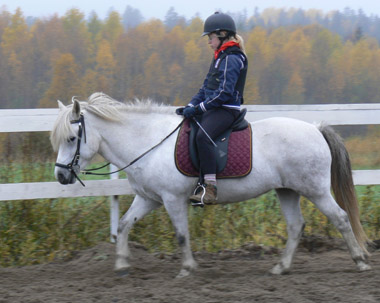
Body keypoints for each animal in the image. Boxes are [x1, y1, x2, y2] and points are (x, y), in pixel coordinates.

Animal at [50, 92, 372, 278]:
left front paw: (186, 269)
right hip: (287, 191)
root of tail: (316, 128)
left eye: (71, 138)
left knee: (341, 218)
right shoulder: (149, 198)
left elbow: (181, 235)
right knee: (296, 226)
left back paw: (360, 261)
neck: (148, 141)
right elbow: (125, 224)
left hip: (315, 190)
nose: (61, 177)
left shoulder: (172, 199)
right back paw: (281, 267)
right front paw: (121, 265)